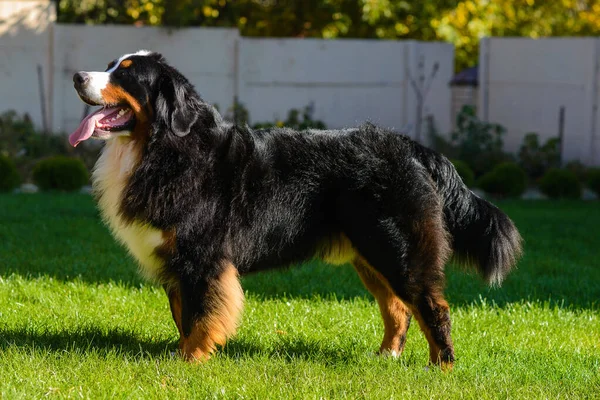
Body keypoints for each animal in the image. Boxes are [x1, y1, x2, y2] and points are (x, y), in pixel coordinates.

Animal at [69, 50, 520, 368]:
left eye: (126, 74)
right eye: (109, 66)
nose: (76, 76)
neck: (162, 149)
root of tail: (411, 147)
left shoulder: (202, 257)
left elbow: (201, 315)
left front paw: (190, 362)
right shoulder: (176, 260)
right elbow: (184, 315)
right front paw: (183, 356)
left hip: (401, 252)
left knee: (431, 307)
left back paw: (441, 367)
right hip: (371, 254)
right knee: (397, 310)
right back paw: (385, 357)